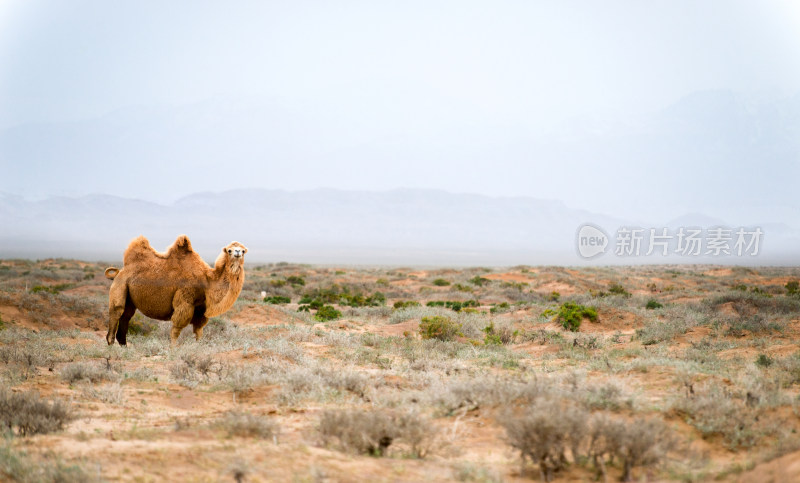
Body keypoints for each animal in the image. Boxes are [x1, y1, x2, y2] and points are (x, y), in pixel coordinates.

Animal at [104, 235, 247, 346]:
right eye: (229, 250)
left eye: (243, 250)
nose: (237, 252)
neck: (206, 281)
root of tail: (120, 271)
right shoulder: (184, 301)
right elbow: (176, 330)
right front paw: (172, 350)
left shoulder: (201, 309)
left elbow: (199, 331)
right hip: (120, 285)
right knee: (116, 312)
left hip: (130, 299)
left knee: (126, 318)